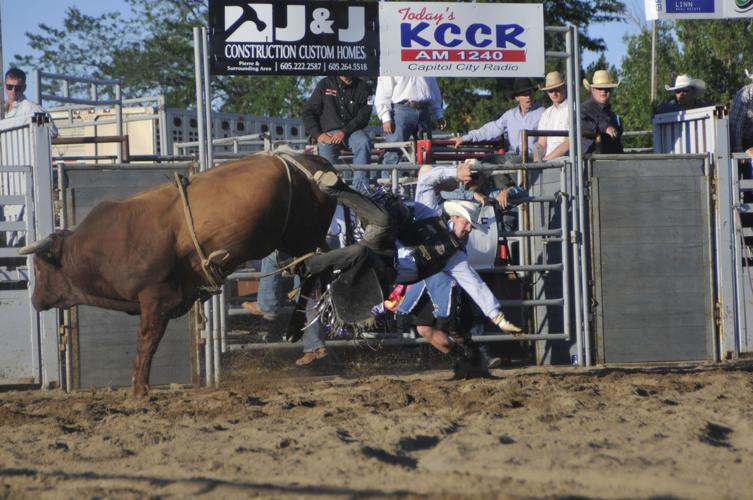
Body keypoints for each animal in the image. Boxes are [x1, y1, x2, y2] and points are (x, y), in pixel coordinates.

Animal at [19, 154, 334, 396]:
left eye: (40, 267)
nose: (34, 300)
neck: (103, 244)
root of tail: (313, 162)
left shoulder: (155, 298)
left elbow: (147, 341)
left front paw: (139, 389)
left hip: (304, 236)